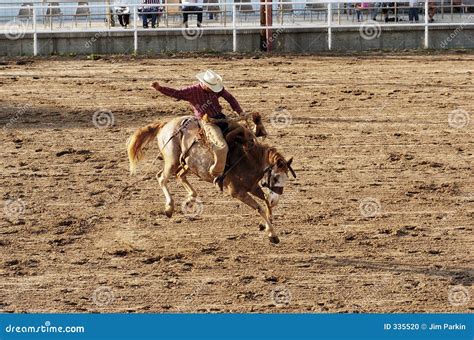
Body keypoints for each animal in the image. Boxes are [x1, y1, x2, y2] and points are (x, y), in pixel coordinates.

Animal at [128, 115, 294, 243]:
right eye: (276, 176)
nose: (276, 199)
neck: (248, 158)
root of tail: (166, 124)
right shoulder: (237, 192)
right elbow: (260, 207)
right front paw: (272, 234)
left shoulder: (253, 187)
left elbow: (266, 201)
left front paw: (265, 225)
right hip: (172, 161)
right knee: (161, 177)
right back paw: (169, 207)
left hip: (186, 164)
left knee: (179, 176)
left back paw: (190, 199)